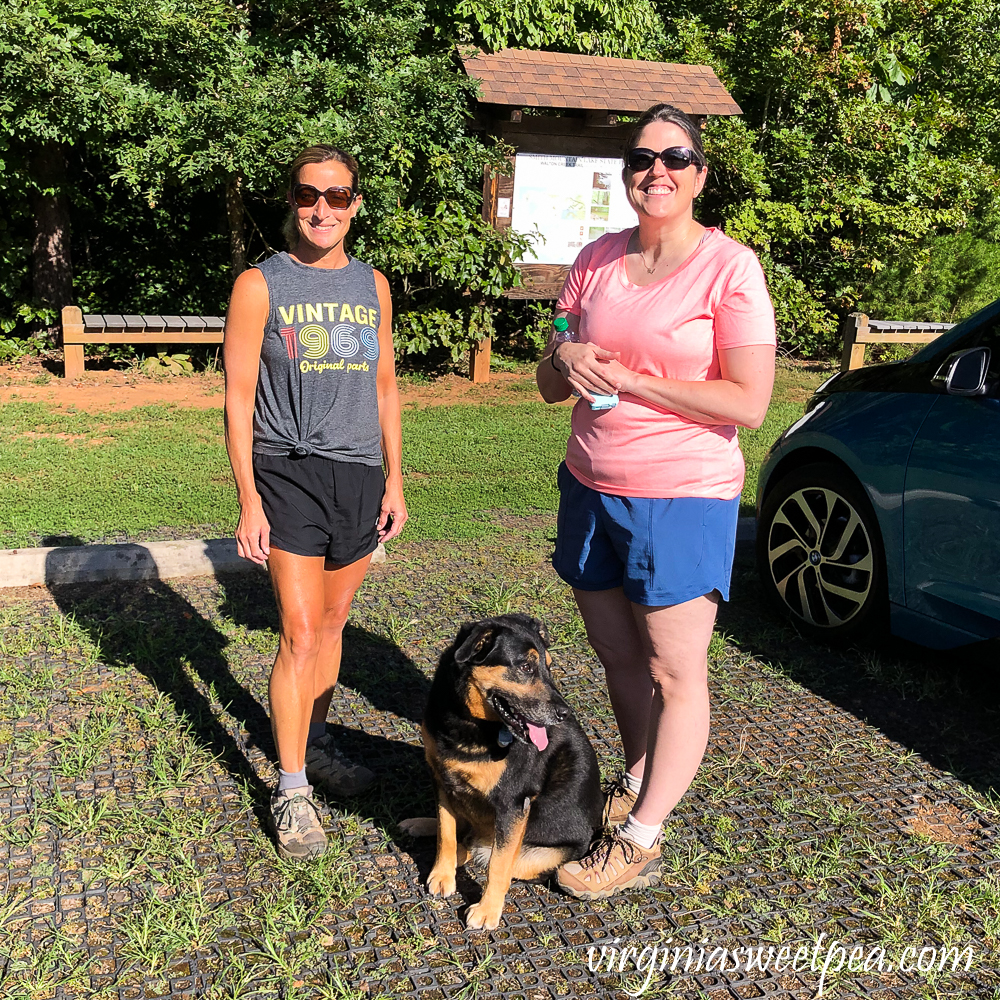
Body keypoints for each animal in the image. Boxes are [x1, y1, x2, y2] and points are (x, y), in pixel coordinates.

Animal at [398, 612, 600, 932]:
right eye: (527, 666)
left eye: (549, 666)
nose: (564, 714)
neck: (471, 723)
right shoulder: (442, 780)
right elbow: (446, 831)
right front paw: (442, 874)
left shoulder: (513, 804)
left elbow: (498, 865)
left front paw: (487, 911)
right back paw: (422, 825)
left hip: (539, 854)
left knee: (489, 854)